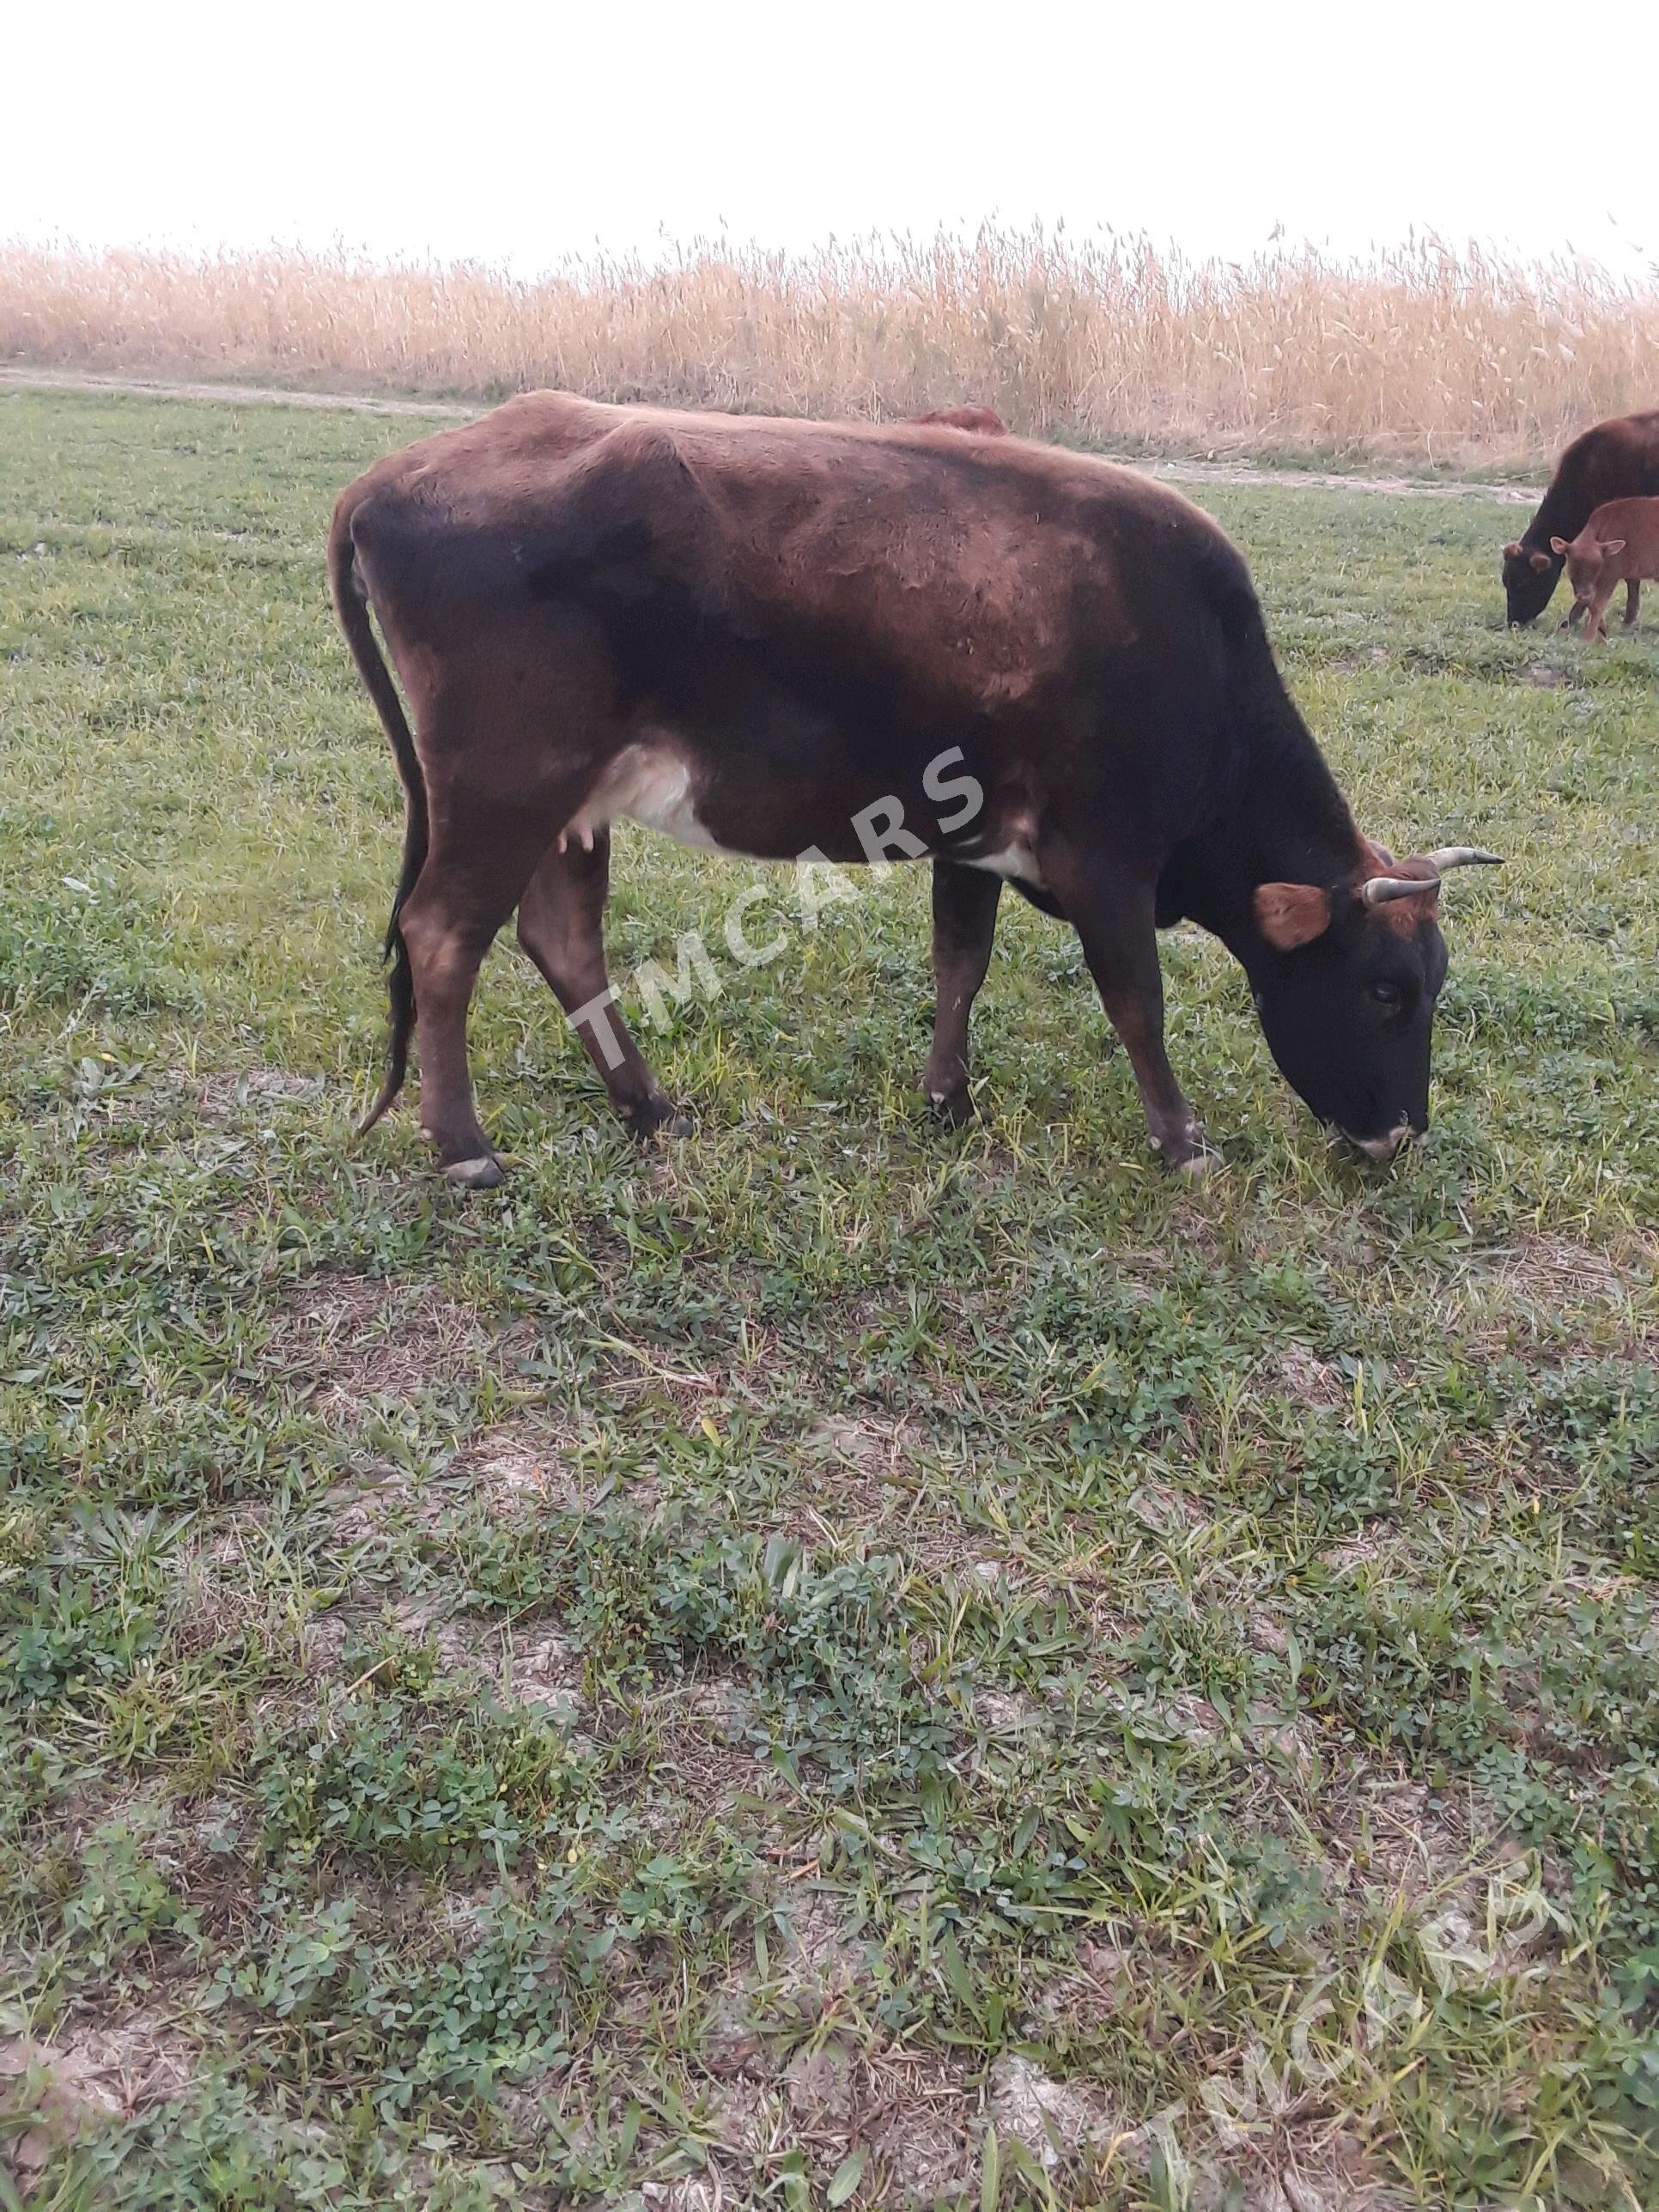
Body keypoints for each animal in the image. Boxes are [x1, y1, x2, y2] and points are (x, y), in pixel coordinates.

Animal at [331, 398, 1504, 1194]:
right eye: (1386, 989)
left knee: (561, 937)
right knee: (443, 936)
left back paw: (650, 1110)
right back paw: (467, 1148)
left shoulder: (975, 842)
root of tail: (395, 471)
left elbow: (960, 963)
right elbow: (1138, 999)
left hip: (567, 801)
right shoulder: (1106, 860)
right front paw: (1180, 1140)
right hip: (505, 783)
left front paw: (946, 1097)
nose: (1401, 1131)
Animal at [1557, 500, 1659, 641]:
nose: (1584, 595)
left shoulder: (1611, 574)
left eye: (1597, 567)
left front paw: (1588, 639)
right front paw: (1602, 631)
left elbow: (1597, 606)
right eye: (1573, 567)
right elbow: (1591, 603)